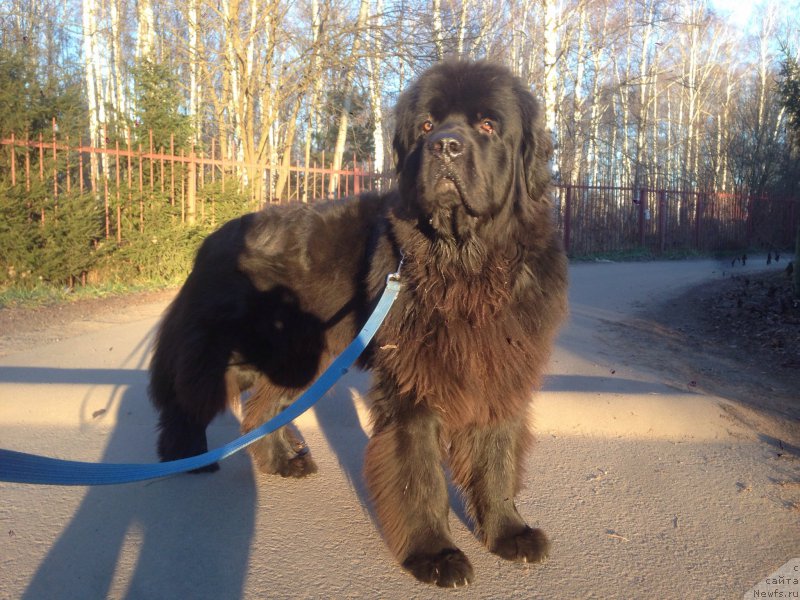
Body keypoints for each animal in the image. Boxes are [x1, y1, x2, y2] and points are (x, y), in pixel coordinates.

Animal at [148, 61, 564, 584]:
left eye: (488, 125)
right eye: (427, 126)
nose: (445, 146)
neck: (465, 266)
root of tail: (212, 238)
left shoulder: (500, 369)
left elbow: (497, 458)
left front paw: (509, 532)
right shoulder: (412, 383)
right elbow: (419, 472)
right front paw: (434, 553)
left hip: (305, 356)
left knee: (261, 407)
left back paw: (281, 460)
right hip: (248, 348)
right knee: (192, 393)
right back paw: (185, 455)